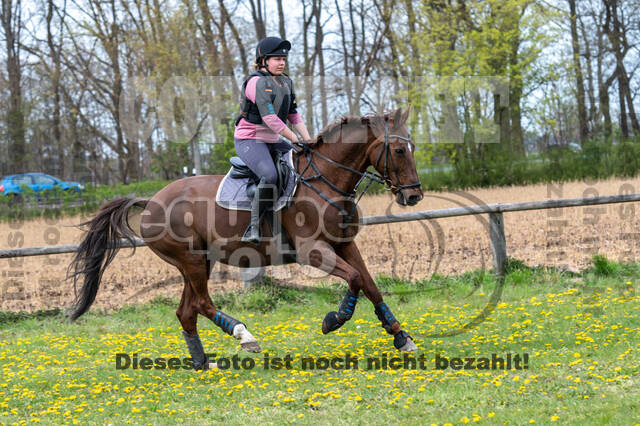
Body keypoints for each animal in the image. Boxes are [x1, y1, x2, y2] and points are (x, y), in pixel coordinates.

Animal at [69, 106, 424, 370]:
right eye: (398, 149)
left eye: (413, 148)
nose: (414, 196)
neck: (325, 181)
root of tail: (150, 201)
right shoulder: (313, 251)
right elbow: (353, 279)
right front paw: (333, 320)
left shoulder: (344, 245)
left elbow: (369, 284)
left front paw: (400, 336)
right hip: (191, 260)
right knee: (201, 303)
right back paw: (244, 335)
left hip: (198, 262)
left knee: (187, 311)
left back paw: (202, 363)